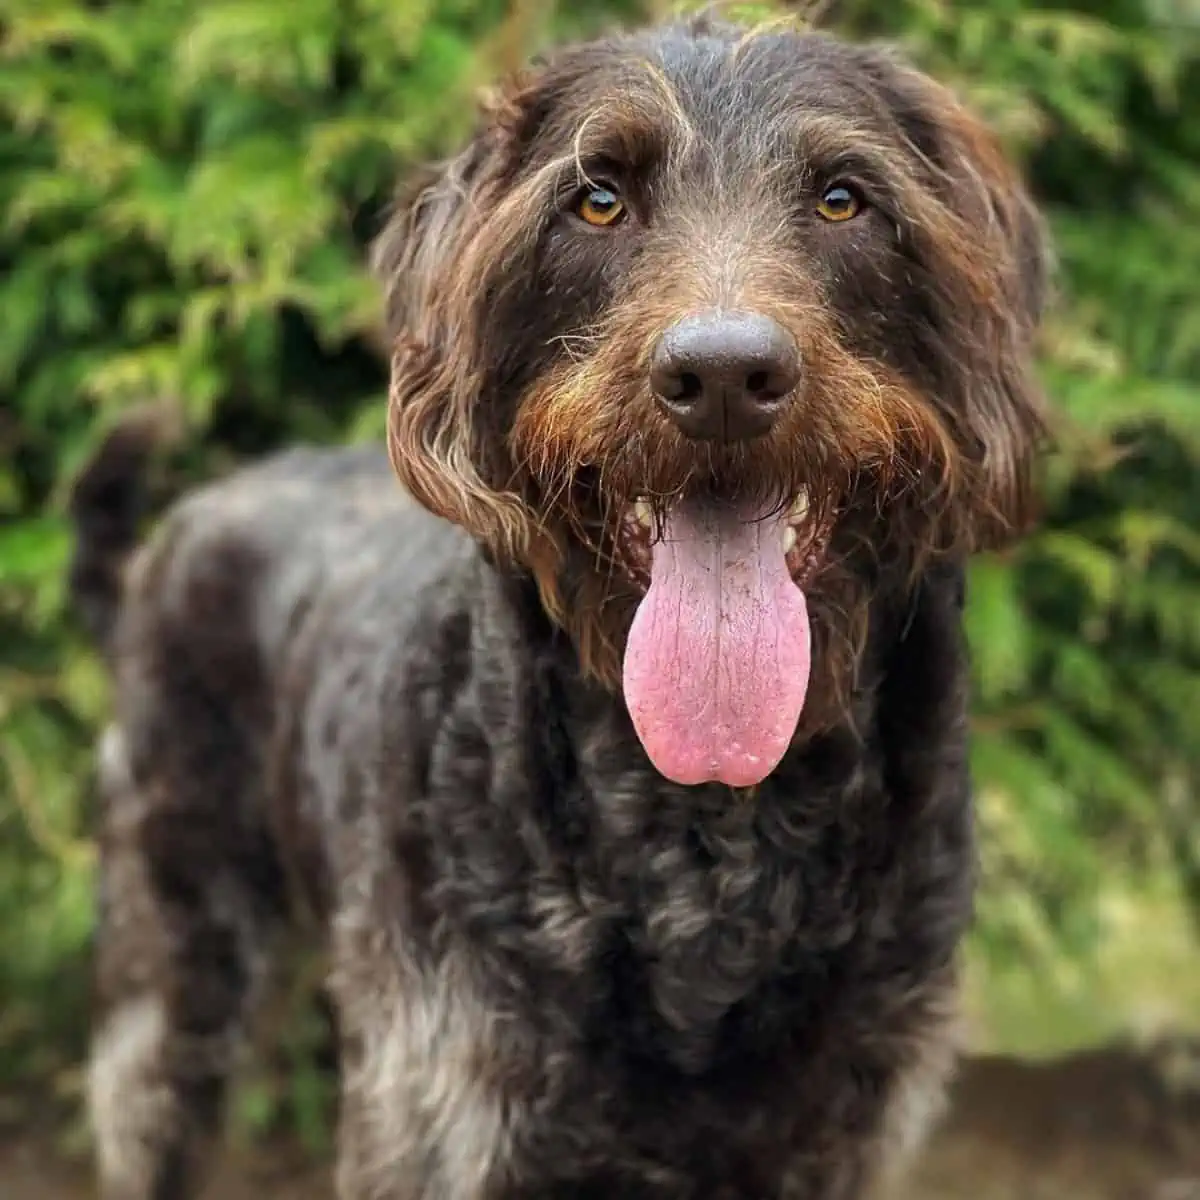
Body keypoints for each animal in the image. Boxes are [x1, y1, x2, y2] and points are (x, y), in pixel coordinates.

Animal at [72, 11, 1051, 1200]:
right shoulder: (445, 1108)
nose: (723, 378)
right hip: (173, 986)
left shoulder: (844, 1129)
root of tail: (180, 525)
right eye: (597, 200)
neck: (711, 838)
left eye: (842, 199)